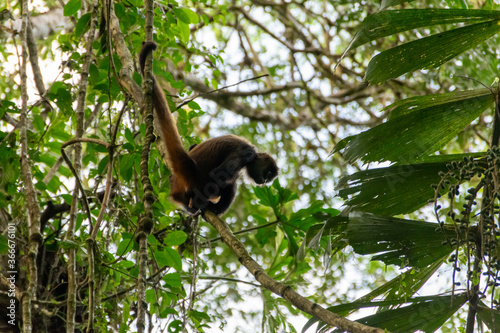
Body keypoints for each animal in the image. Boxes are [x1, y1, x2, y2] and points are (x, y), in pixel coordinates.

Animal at [139, 41, 278, 214]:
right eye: (267, 174)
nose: (264, 181)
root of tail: (190, 166)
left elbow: (194, 145)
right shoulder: (246, 152)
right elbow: (218, 175)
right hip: (200, 180)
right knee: (230, 182)